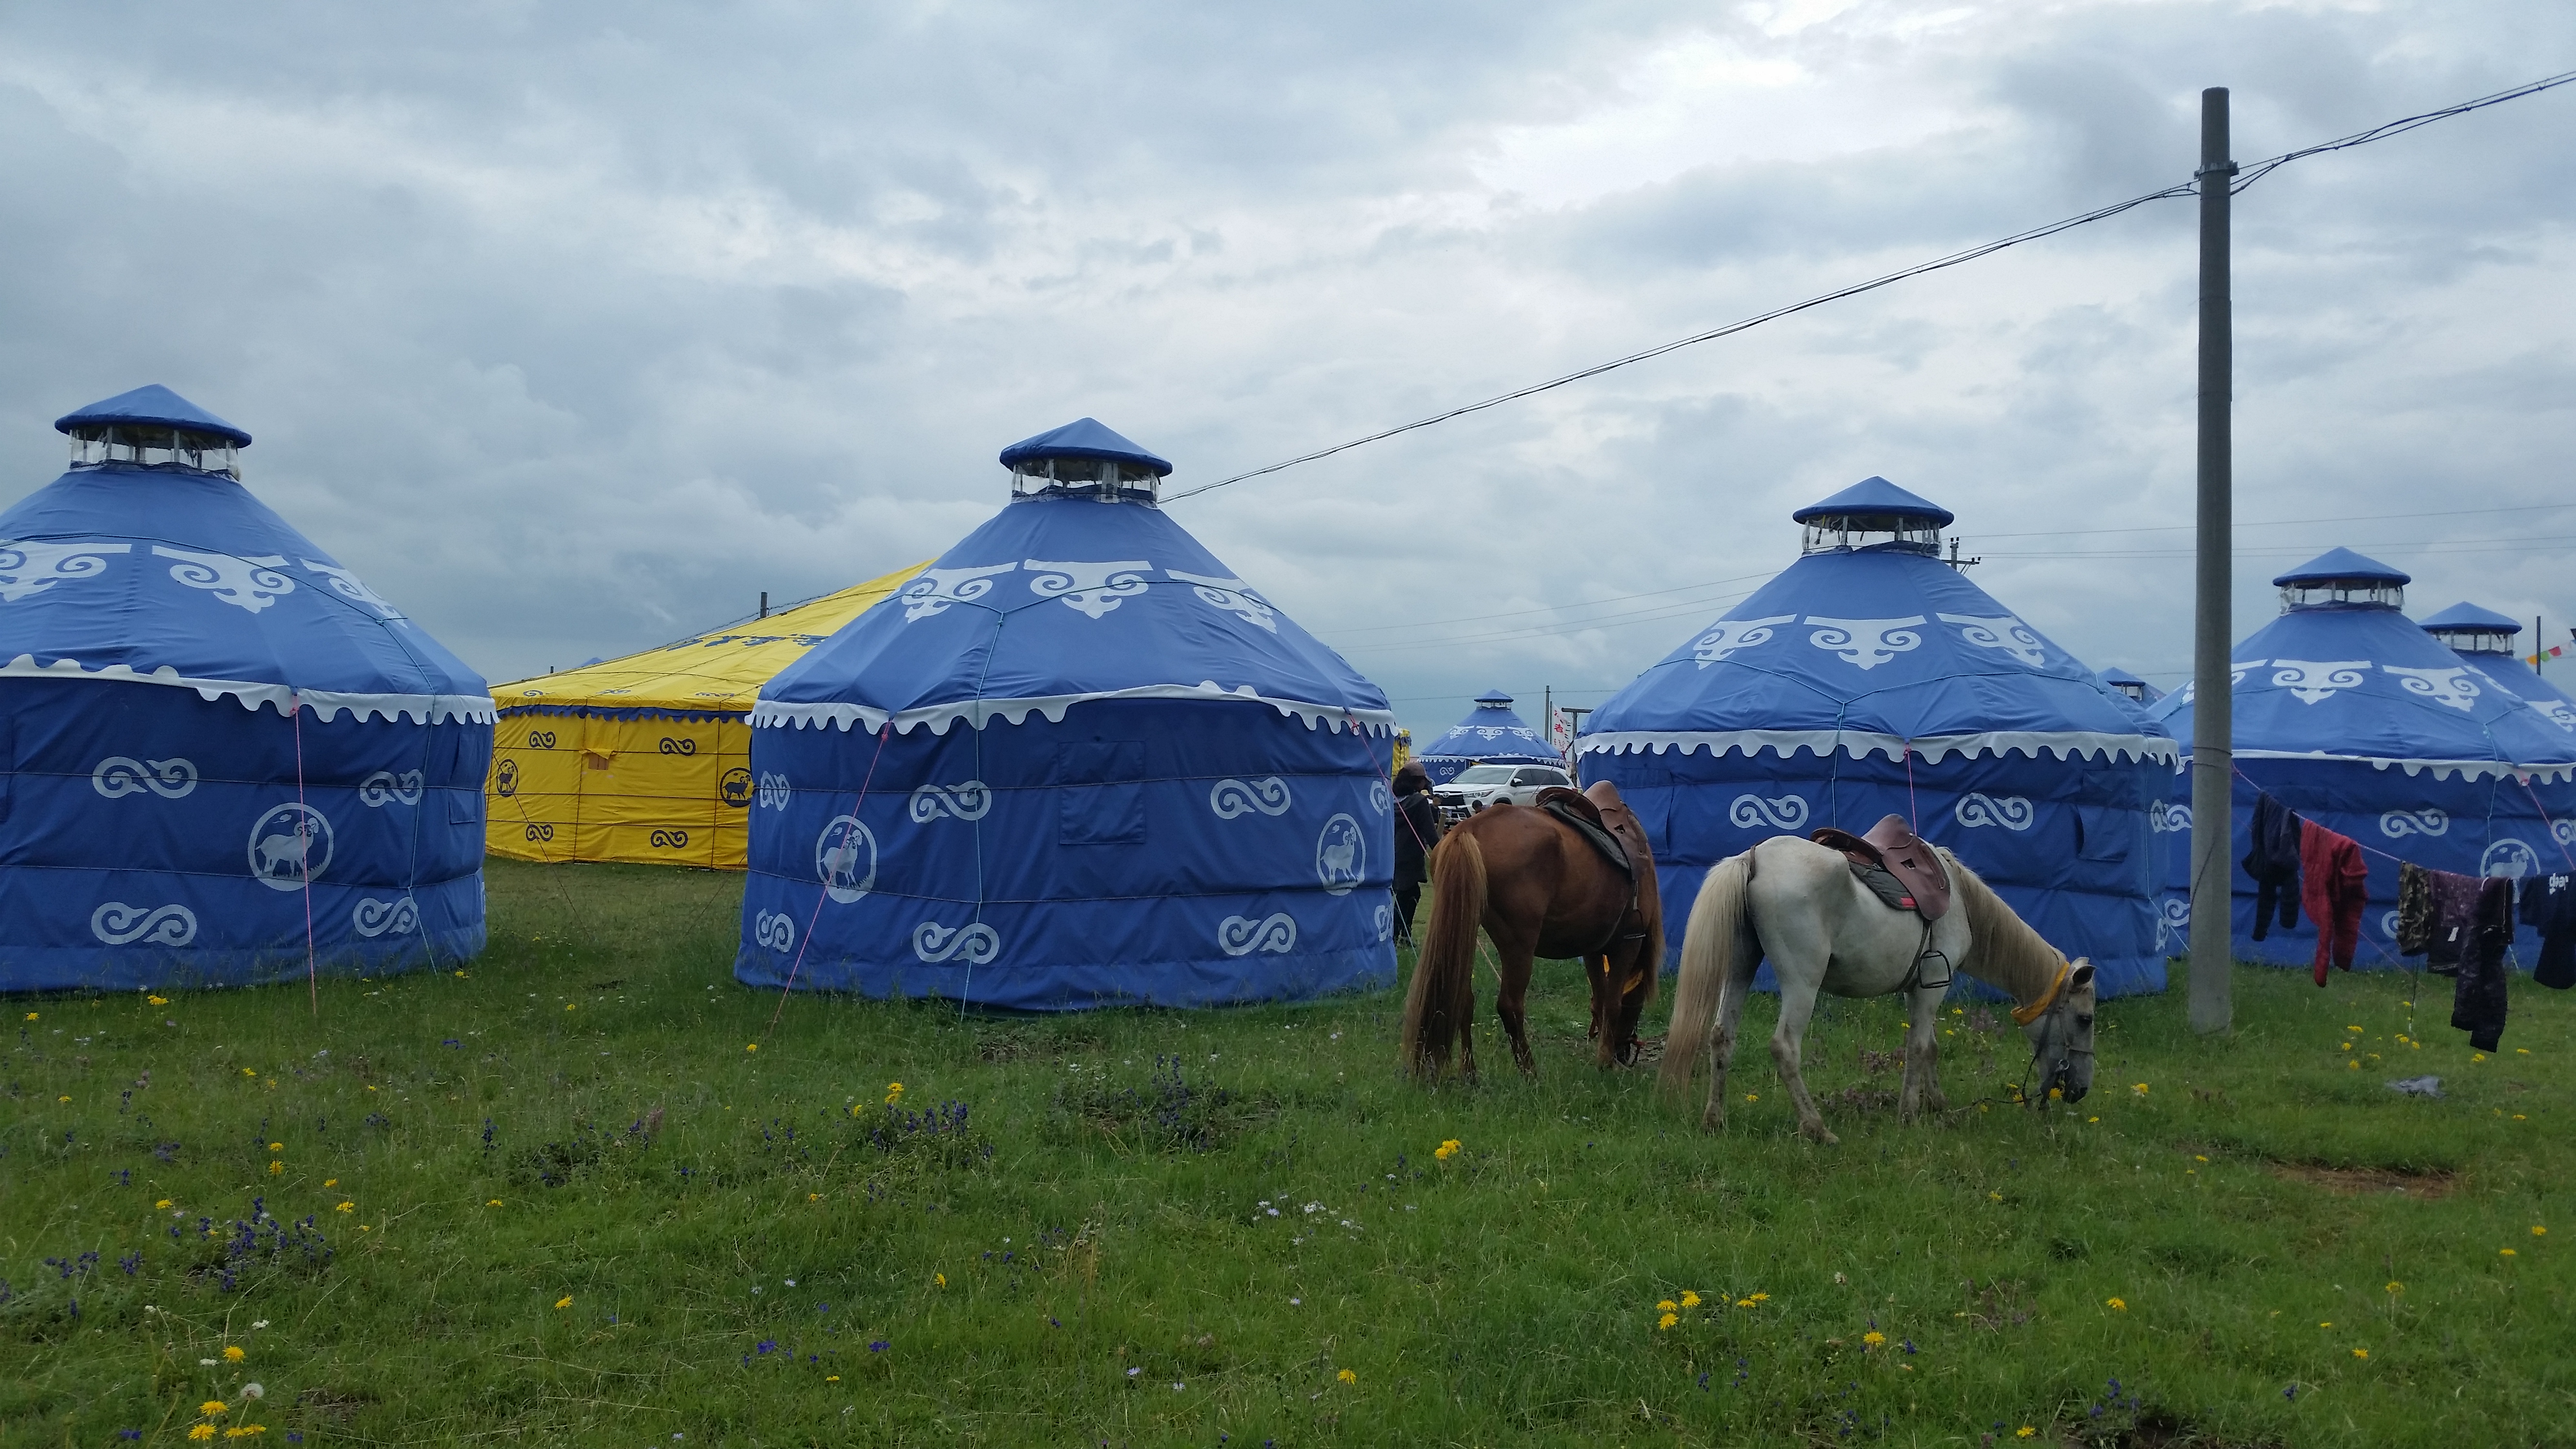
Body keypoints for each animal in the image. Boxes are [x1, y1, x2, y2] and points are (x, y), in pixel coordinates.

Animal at [1401, 784, 1658, 1078]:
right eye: (1638, 1007)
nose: (1623, 1054)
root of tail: (1467, 828)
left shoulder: (1593, 949)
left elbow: (1600, 1001)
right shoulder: (1629, 942)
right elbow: (1613, 1003)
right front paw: (1604, 1062)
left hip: (1466, 932)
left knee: (1464, 1000)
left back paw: (1470, 1074)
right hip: (1519, 945)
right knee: (1510, 1005)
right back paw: (1529, 1071)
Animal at [1669, 835, 2092, 1139]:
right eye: (2085, 1020)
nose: (2080, 1091)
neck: (1960, 901)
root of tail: (1754, 858)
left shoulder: (1921, 988)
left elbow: (1930, 1047)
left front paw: (1937, 1104)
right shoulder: (1932, 988)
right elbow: (1919, 1048)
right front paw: (1910, 1115)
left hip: (1740, 967)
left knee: (1722, 1035)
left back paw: (1714, 1119)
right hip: (1802, 981)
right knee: (1785, 1047)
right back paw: (1817, 1129)